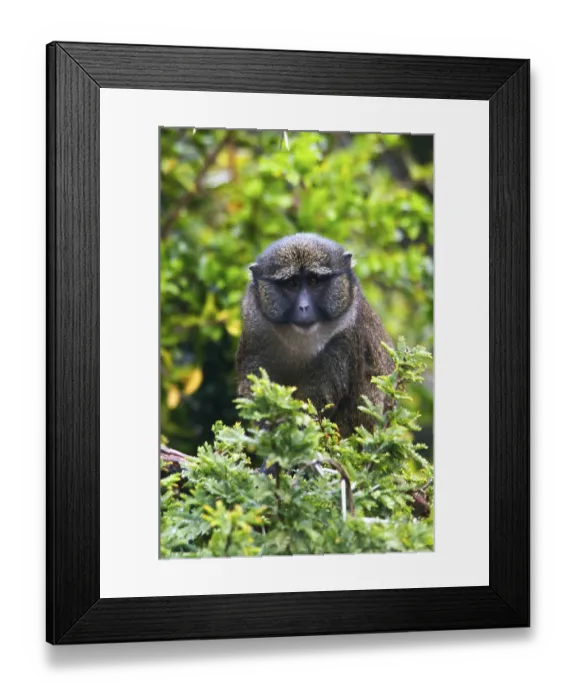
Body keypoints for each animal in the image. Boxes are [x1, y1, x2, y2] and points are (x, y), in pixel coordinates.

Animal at [235, 233, 395, 439]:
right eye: (292, 283)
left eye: (313, 281)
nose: (304, 307)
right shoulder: (255, 325)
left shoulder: (344, 338)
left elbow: (318, 401)